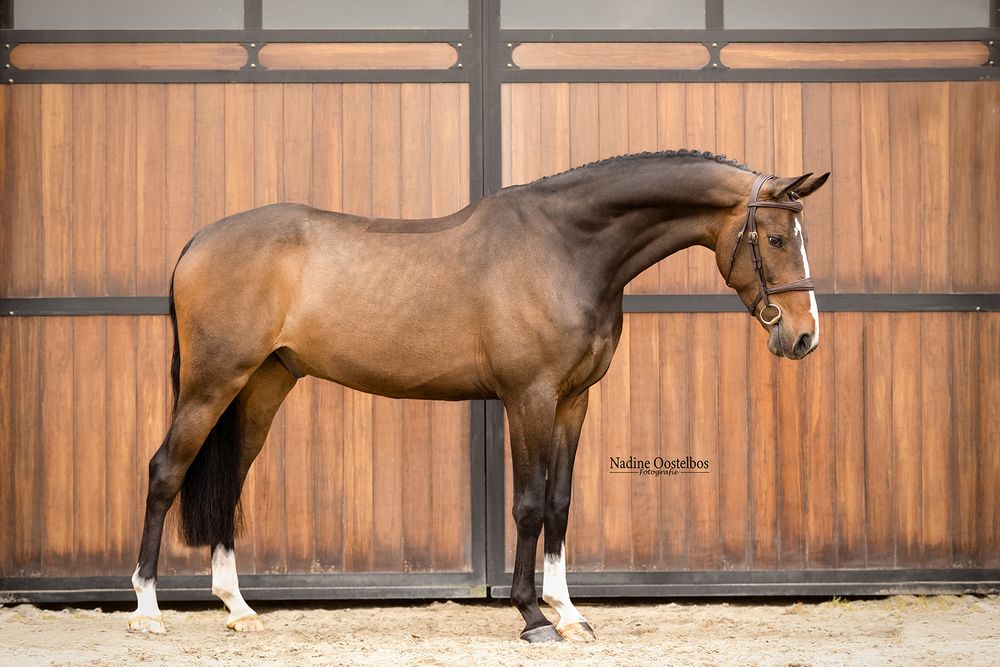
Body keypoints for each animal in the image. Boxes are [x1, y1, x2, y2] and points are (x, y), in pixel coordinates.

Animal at [127, 149, 829, 642]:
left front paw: (568, 612)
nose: (803, 337)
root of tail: (199, 241)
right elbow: (528, 505)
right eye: (774, 240)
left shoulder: (573, 400)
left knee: (230, 481)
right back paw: (146, 610)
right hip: (211, 384)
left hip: (262, 385)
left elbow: (560, 503)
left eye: (800, 239)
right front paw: (532, 617)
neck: (566, 247)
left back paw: (238, 609)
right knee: (166, 472)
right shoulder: (529, 397)